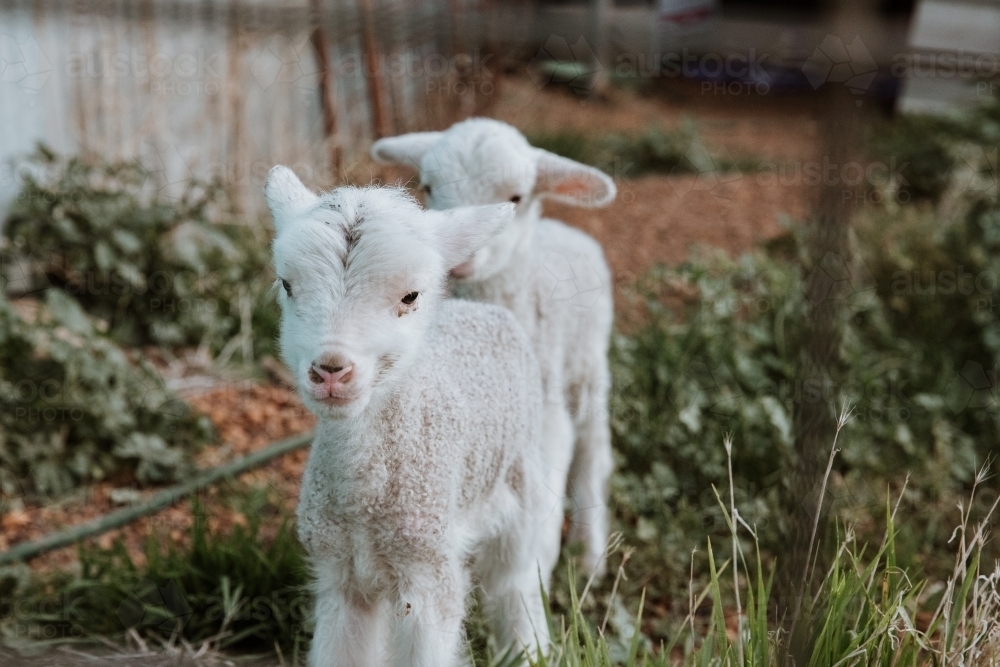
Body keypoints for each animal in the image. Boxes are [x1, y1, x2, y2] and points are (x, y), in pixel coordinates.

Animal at [265, 166, 557, 667]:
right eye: (287, 285)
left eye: (410, 295)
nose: (330, 370)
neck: (364, 502)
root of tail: (478, 307)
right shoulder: (339, 572)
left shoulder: (429, 571)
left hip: (521, 486)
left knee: (515, 583)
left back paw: (530, 648)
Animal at [371, 118, 616, 576]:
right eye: (428, 187)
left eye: (516, 198)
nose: (460, 256)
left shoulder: (547, 413)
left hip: (588, 365)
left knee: (592, 451)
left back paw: (589, 551)